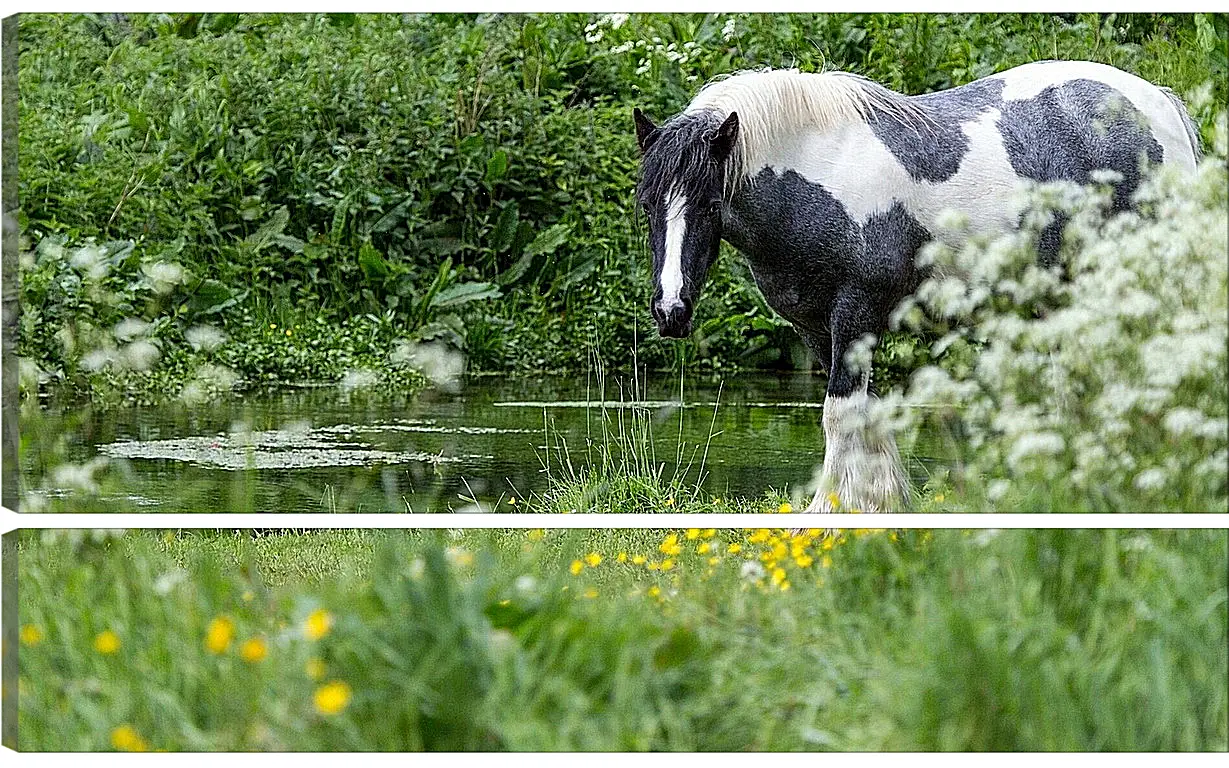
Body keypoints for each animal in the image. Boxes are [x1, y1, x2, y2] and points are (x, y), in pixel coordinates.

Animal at [634, 61, 1199, 516]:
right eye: (647, 205)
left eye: (710, 204)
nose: (671, 310)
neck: (820, 174)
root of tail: (1159, 105)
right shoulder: (818, 328)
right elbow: (866, 414)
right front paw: (882, 503)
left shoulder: (856, 314)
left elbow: (840, 414)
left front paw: (831, 511)